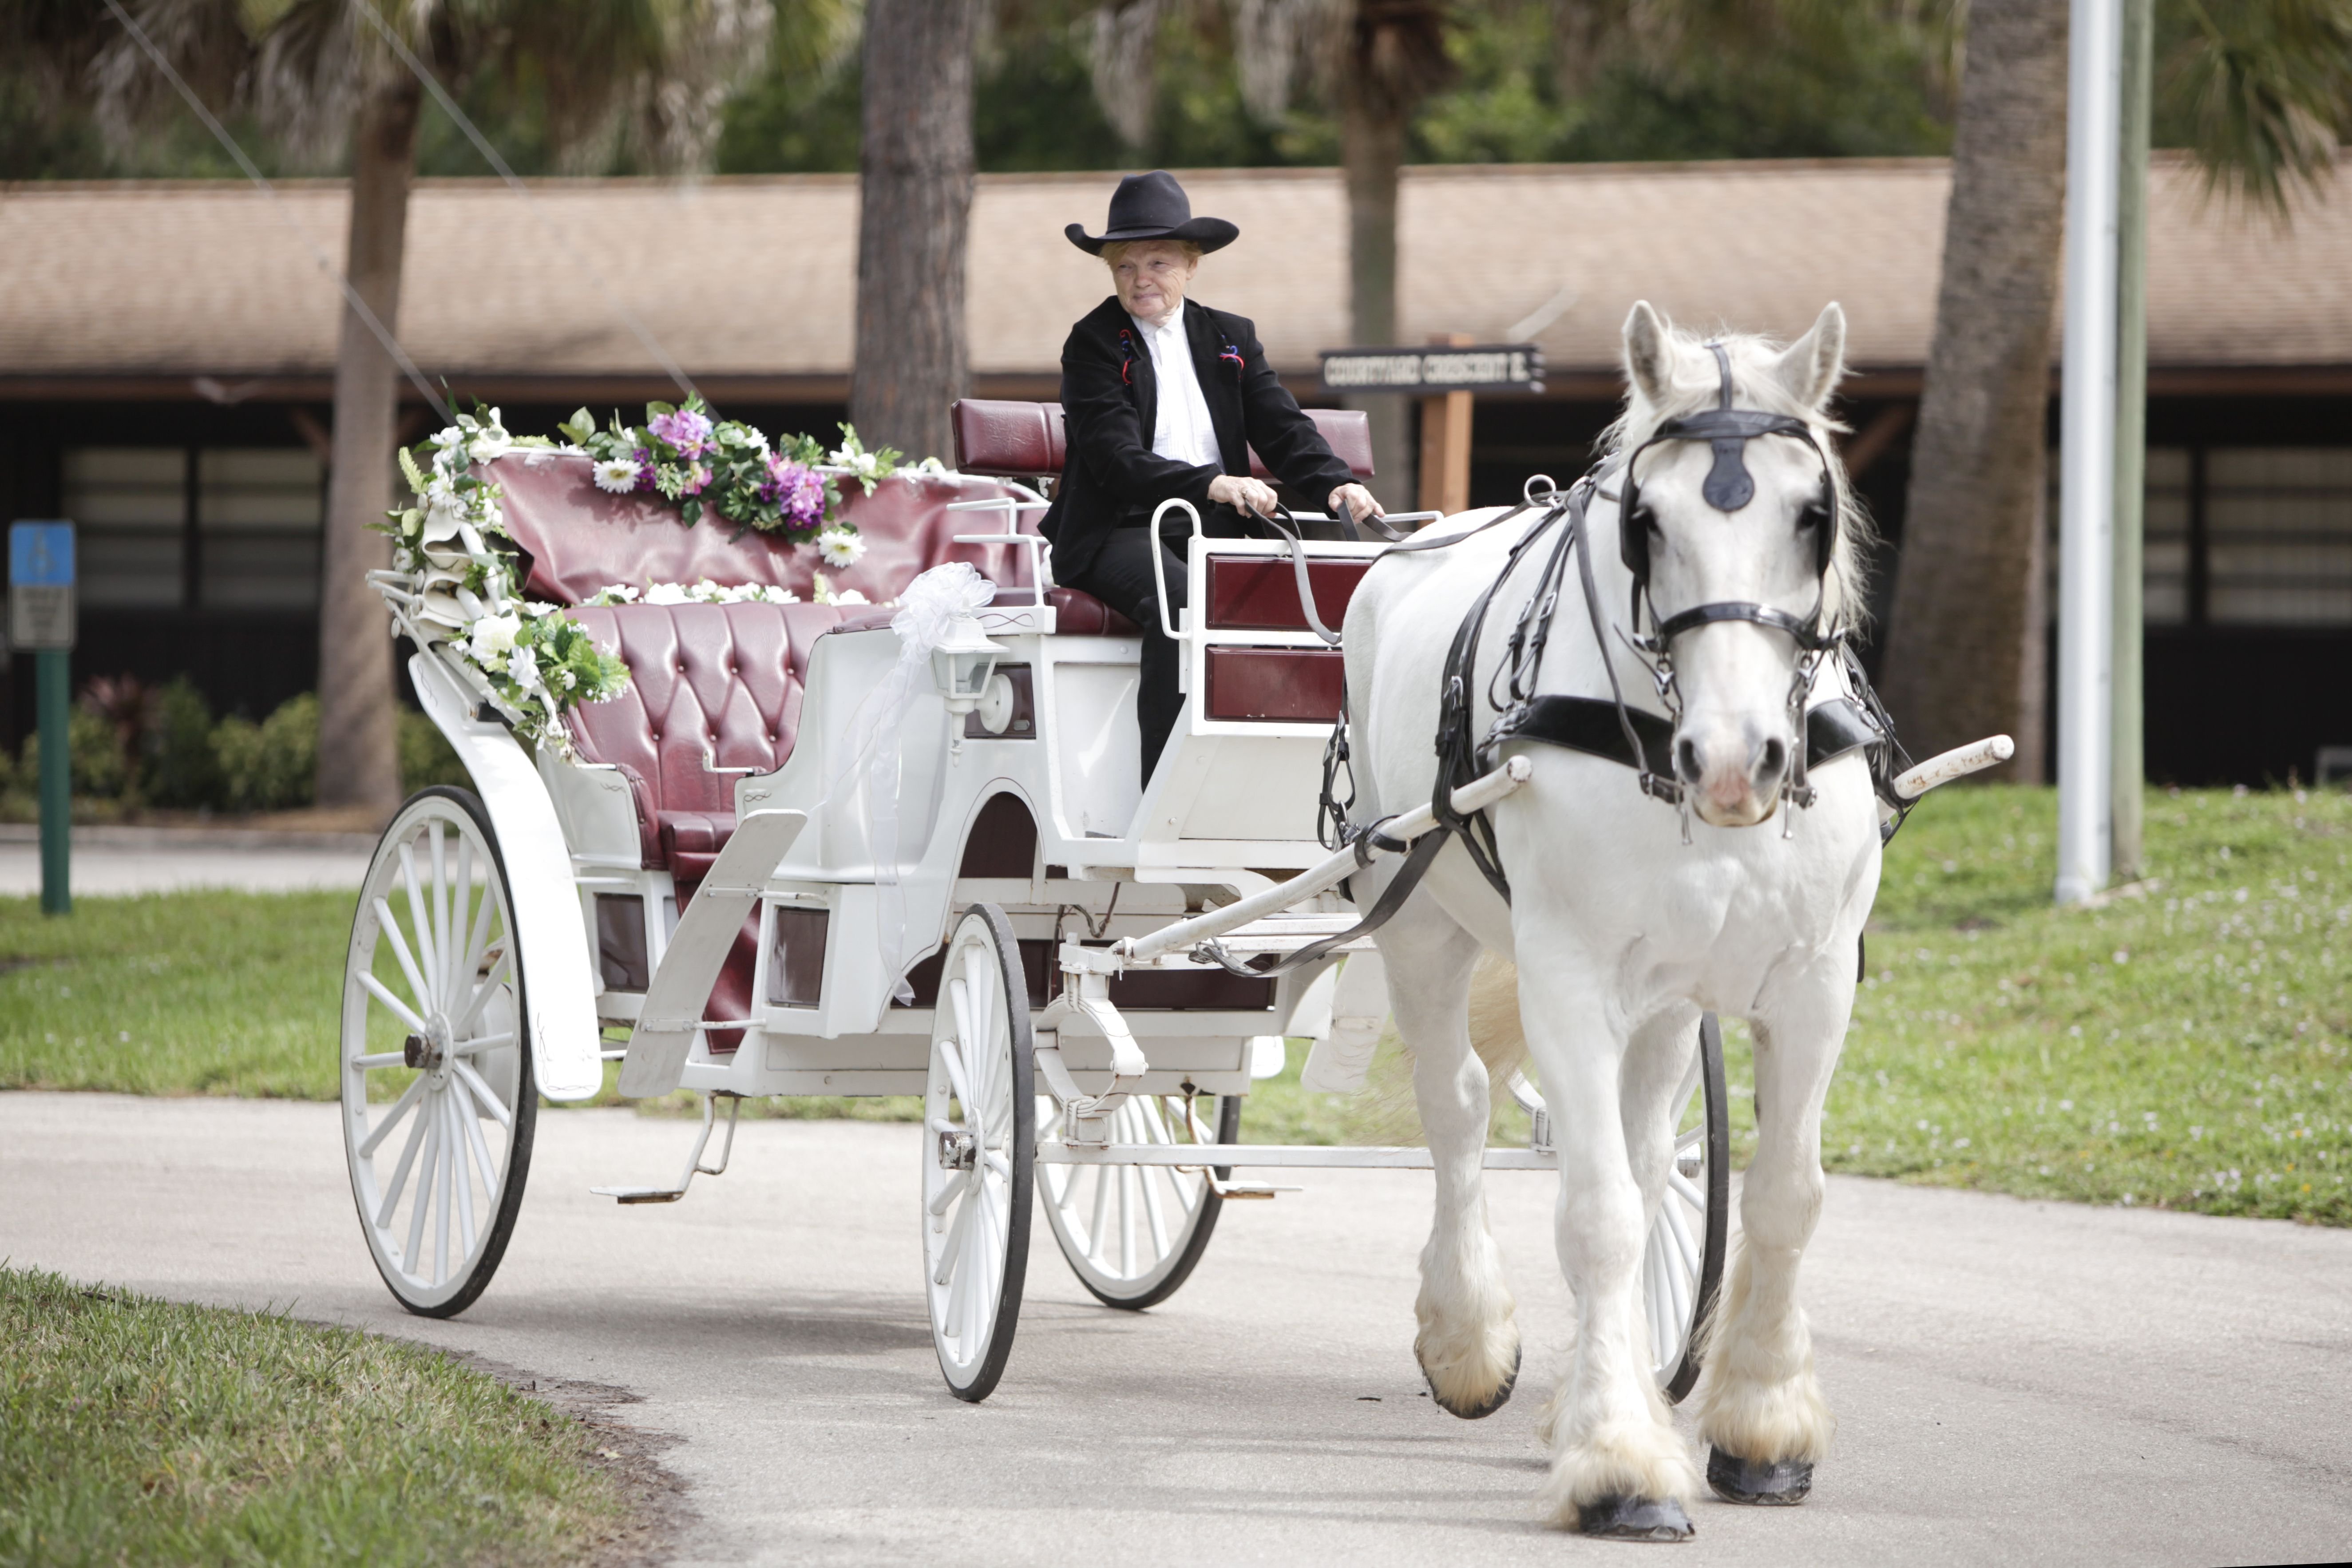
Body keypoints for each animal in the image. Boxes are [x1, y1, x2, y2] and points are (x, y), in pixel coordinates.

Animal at [1354, 301, 1881, 1542]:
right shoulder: (1568, 976)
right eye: (1646, 520)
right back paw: (1468, 1336)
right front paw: (1617, 1460)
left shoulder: (1812, 981)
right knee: (1456, 1107)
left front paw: (1760, 1425)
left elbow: (1783, 1197)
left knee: (1650, 1160)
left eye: (1812, 511)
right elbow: (1595, 1214)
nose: (1736, 760)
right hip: (1417, 924)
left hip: (1669, 998)